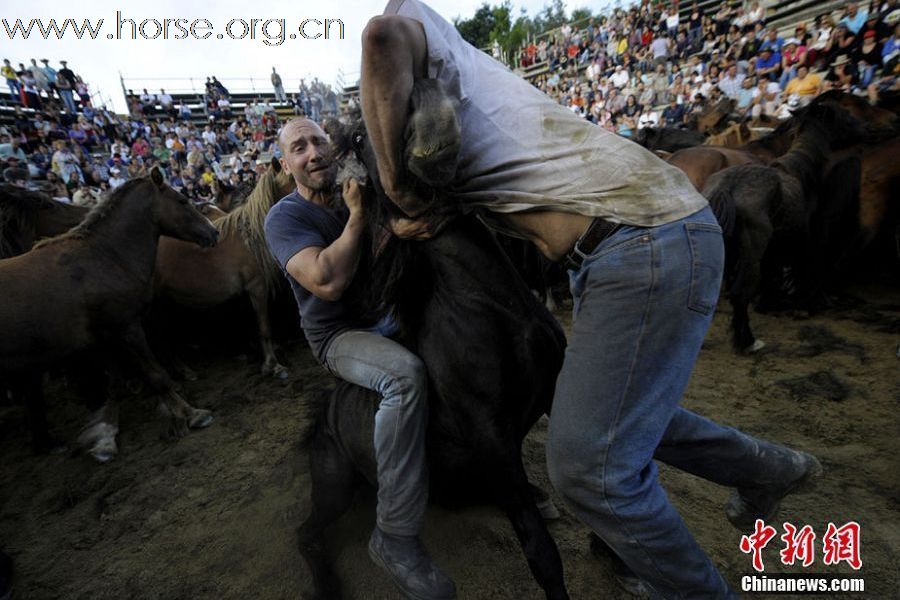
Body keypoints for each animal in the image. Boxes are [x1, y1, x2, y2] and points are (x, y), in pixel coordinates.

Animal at [0, 169, 220, 460]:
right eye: (182, 200)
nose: (213, 232)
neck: (104, 257)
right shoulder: (127, 327)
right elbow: (155, 374)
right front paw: (191, 413)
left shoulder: (106, 338)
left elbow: (122, 381)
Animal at [153, 157, 296, 378]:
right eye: (294, 182)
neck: (251, 238)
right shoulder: (257, 286)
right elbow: (264, 327)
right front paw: (273, 365)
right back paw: (182, 371)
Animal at [298, 91, 572, 596]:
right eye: (360, 137)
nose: (427, 110)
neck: (494, 304)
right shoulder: (491, 438)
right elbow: (541, 553)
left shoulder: (554, 392)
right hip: (334, 487)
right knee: (307, 534)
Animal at [700, 102, 868, 352]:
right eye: (845, 116)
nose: (865, 127)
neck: (801, 169)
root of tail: (727, 187)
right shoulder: (800, 238)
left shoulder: (776, 245)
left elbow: (773, 273)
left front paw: (771, 303)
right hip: (752, 251)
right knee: (740, 292)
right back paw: (748, 341)